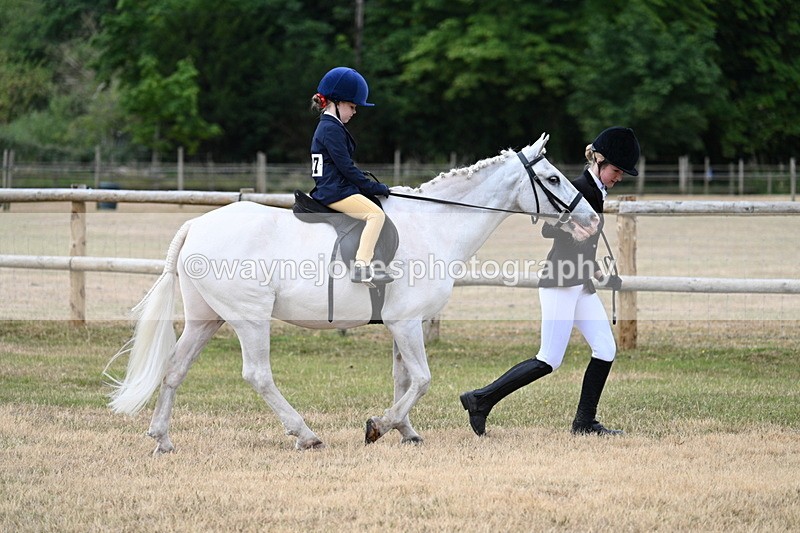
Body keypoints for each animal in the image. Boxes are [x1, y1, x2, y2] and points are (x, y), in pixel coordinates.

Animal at [105, 133, 600, 454]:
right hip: (249, 318)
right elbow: (422, 379)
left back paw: (162, 439)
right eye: (553, 180)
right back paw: (305, 435)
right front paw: (380, 426)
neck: (434, 226)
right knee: (258, 375)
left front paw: (406, 432)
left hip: (206, 317)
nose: (592, 219)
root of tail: (197, 223)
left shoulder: (403, 325)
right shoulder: (405, 322)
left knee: (174, 369)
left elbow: (404, 379)